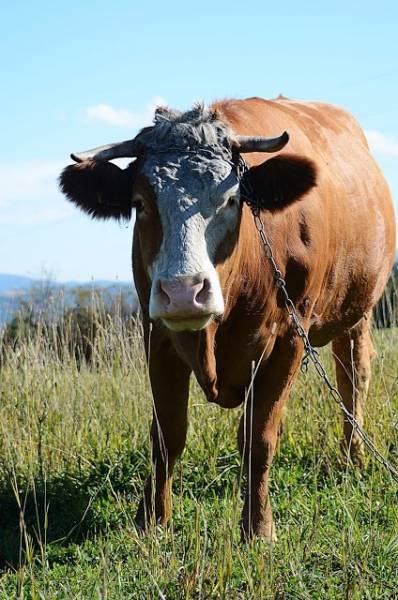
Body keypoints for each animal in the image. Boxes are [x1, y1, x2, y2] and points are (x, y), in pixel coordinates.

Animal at [59, 97, 394, 540]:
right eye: (141, 204)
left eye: (232, 200)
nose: (184, 291)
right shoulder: (157, 336)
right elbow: (167, 433)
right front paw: (152, 519)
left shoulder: (289, 339)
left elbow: (260, 436)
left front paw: (258, 527)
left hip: (359, 310)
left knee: (352, 375)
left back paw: (353, 457)